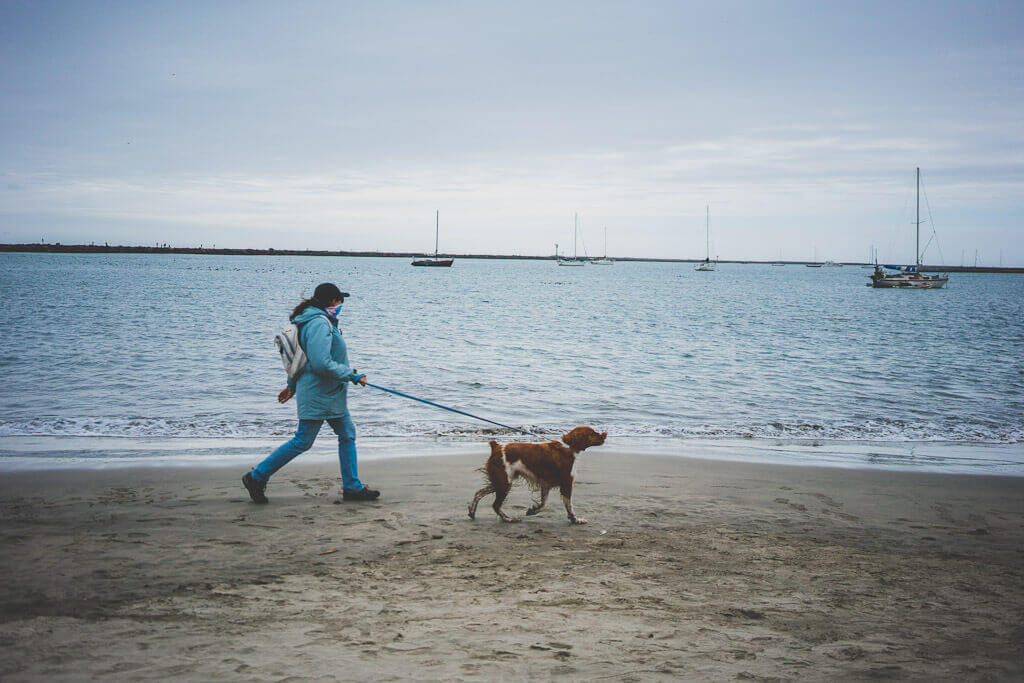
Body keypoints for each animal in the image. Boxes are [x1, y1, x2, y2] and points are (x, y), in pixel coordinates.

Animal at [466, 428, 602, 524]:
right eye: (592, 433)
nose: (604, 434)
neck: (569, 448)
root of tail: (496, 447)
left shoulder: (546, 484)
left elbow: (543, 504)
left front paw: (532, 511)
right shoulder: (567, 483)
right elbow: (569, 506)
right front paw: (575, 520)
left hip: (501, 481)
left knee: (479, 493)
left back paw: (472, 512)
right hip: (504, 483)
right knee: (495, 505)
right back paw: (508, 519)